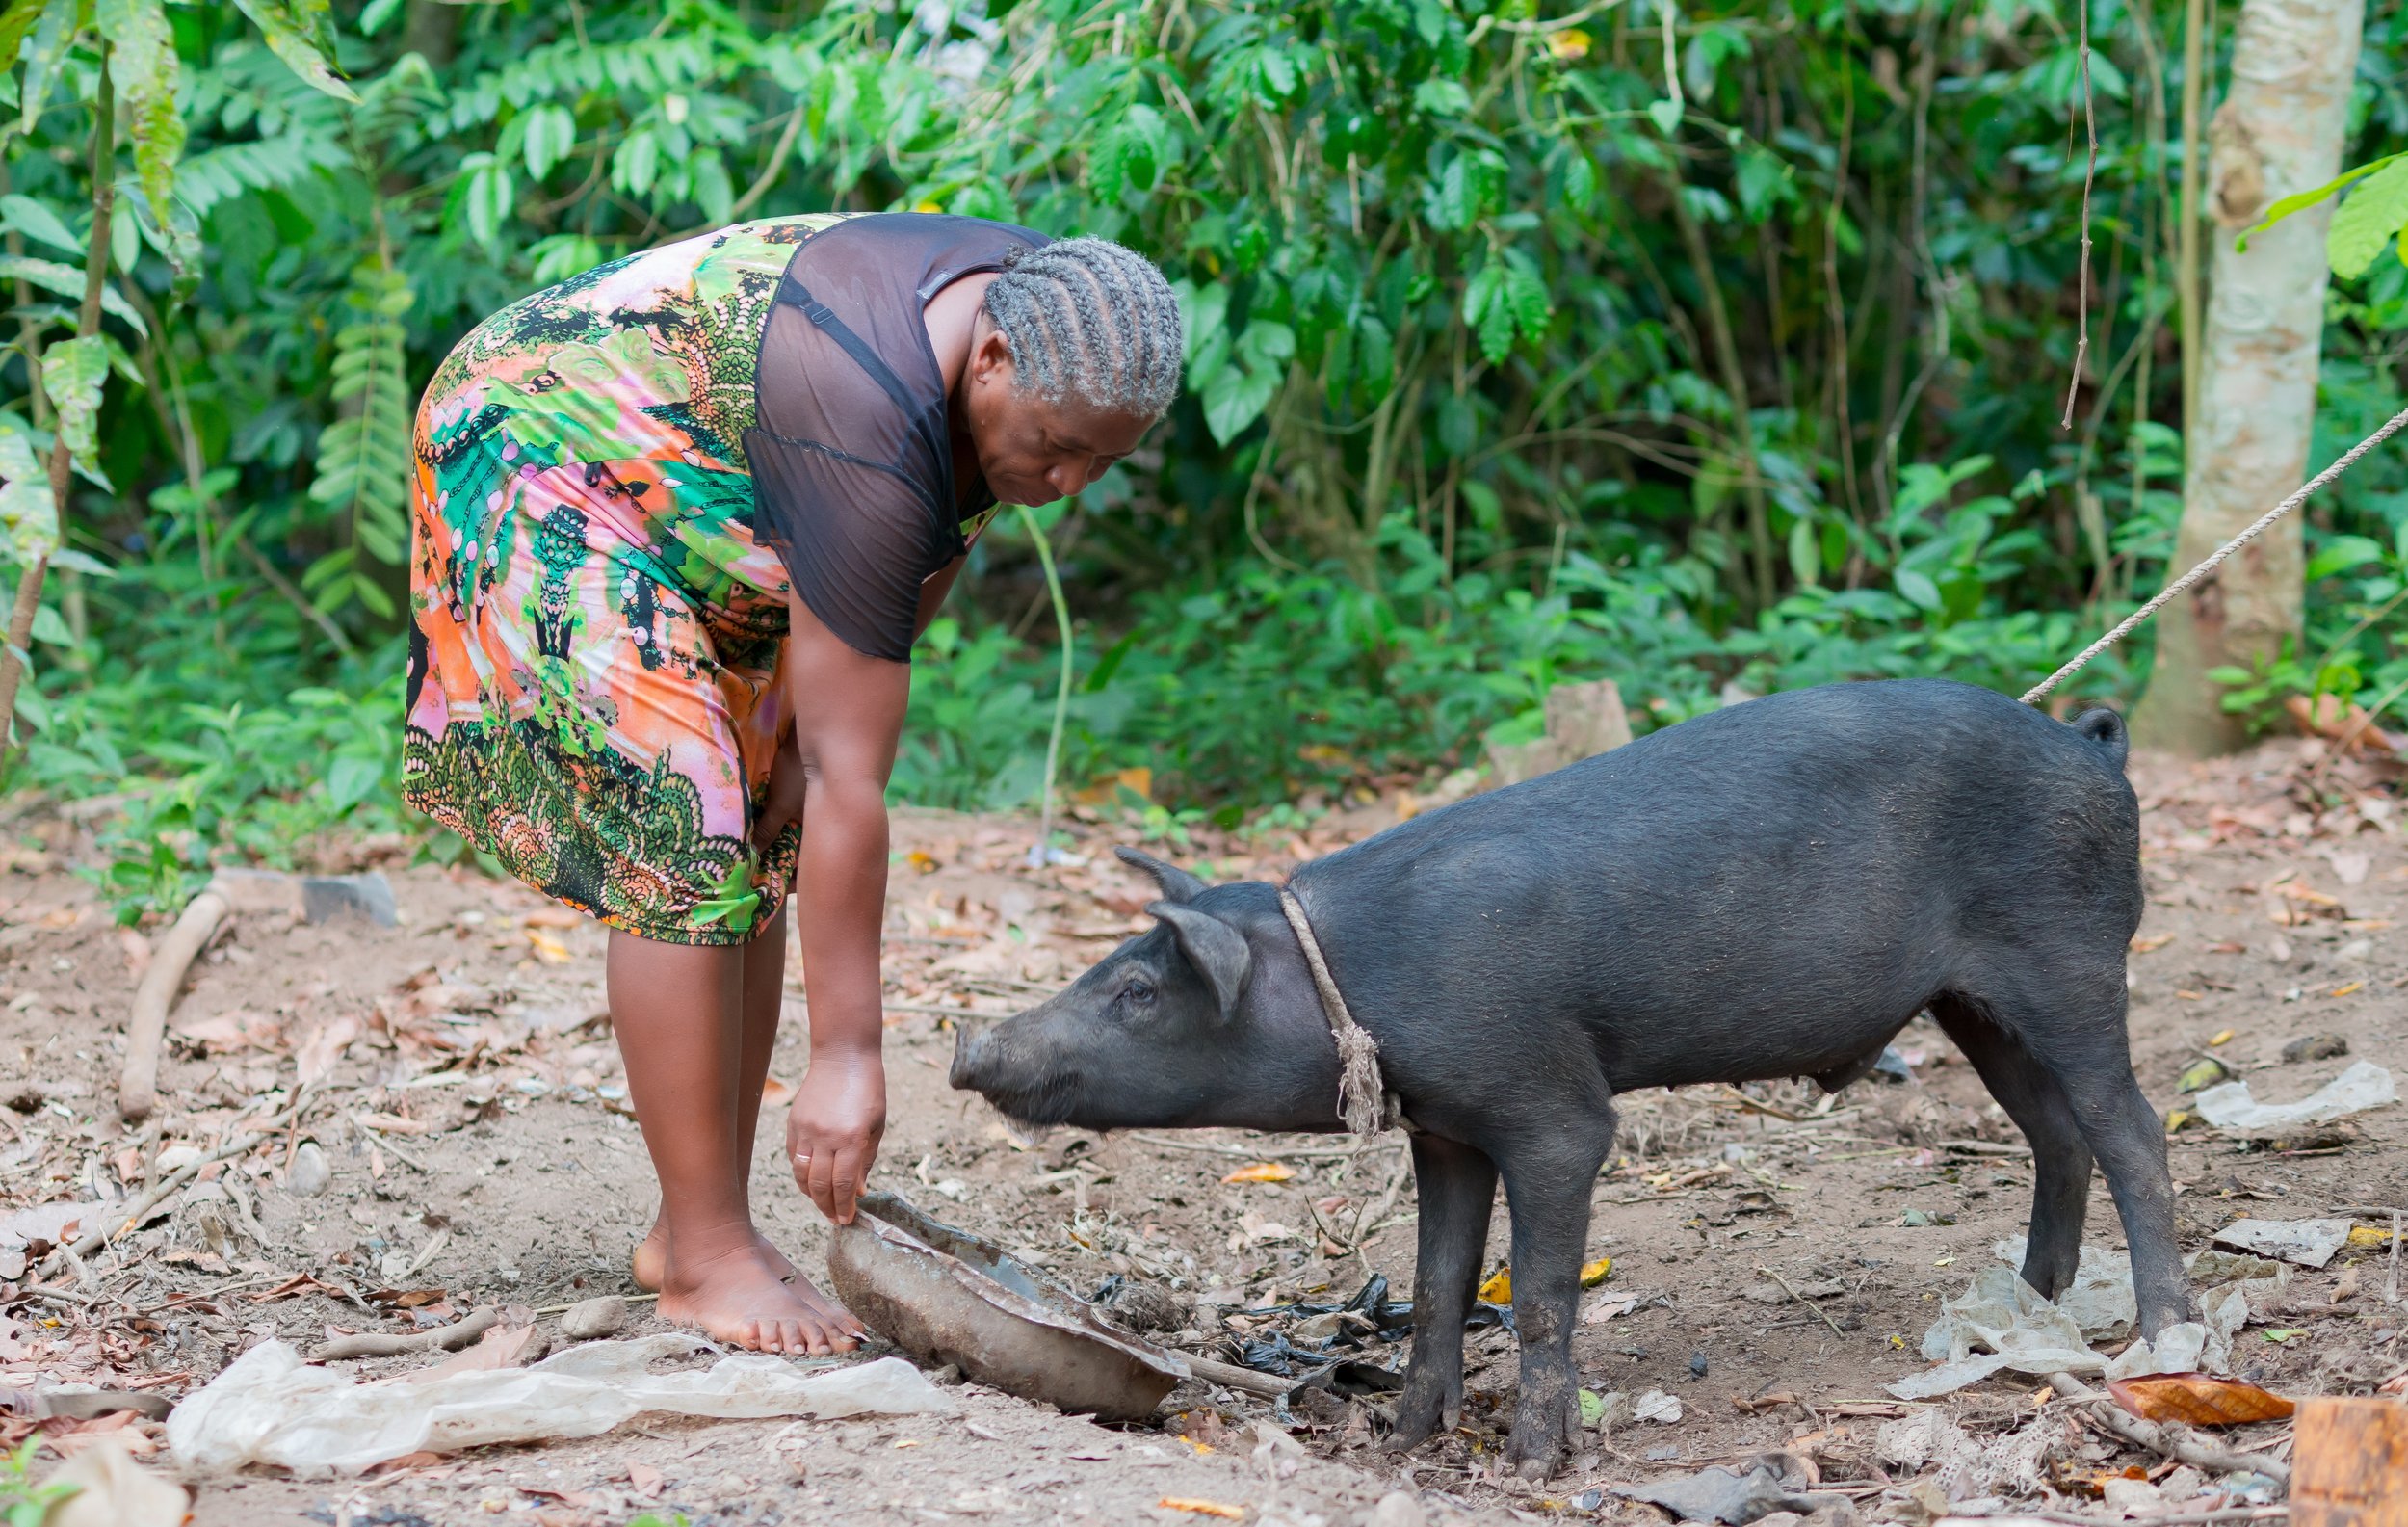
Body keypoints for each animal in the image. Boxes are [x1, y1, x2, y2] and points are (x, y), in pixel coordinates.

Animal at [949, 679, 2196, 1474]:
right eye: (1110, 969)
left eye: (1136, 991)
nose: (968, 1045)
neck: (1353, 983)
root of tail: (2093, 746)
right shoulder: (1444, 1127)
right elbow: (1438, 1281)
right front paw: (1405, 1444)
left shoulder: (1548, 1105)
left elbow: (1542, 1290)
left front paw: (1531, 1463)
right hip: (1973, 1005)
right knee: (2057, 1134)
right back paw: (2028, 1313)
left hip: (2073, 959)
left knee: (2132, 1127)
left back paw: (2162, 1342)